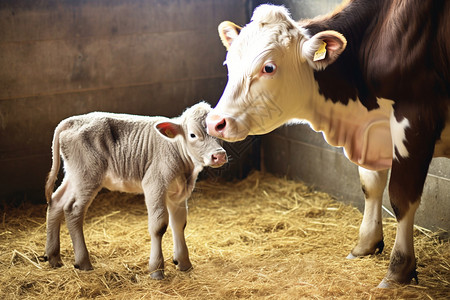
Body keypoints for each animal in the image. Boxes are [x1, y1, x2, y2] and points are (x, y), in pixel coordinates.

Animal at [44, 102, 227, 278]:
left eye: (218, 131)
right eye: (193, 135)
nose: (219, 156)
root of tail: (74, 120)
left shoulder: (179, 193)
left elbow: (179, 224)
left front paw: (184, 263)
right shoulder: (154, 184)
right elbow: (159, 226)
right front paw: (156, 270)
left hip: (74, 175)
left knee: (56, 201)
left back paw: (53, 257)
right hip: (87, 175)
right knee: (73, 210)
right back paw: (83, 262)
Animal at [206, 2, 448, 288]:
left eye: (269, 68)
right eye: (228, 63)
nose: (215, 122)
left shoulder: (415, 119)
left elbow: (402, 197)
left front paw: (399, 270)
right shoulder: (374, 136)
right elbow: (370, 185)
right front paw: (365, 245)